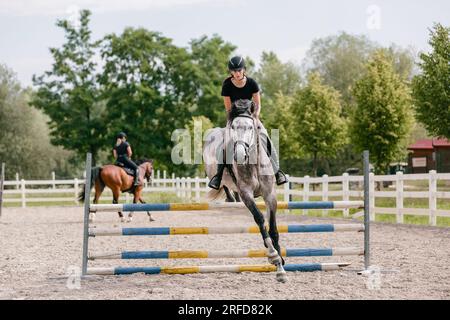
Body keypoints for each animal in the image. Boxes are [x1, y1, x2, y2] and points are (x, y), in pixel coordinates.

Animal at [203, 100, 286, 282]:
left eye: (250, 128)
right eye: (234, 127)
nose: (240, 155)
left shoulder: (270, 194)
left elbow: (273, 227)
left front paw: (281, 261)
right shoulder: (246, 194)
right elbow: (260, 219)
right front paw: (273, 256)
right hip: (217, 176)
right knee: (224, 186)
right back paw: (229, 197)